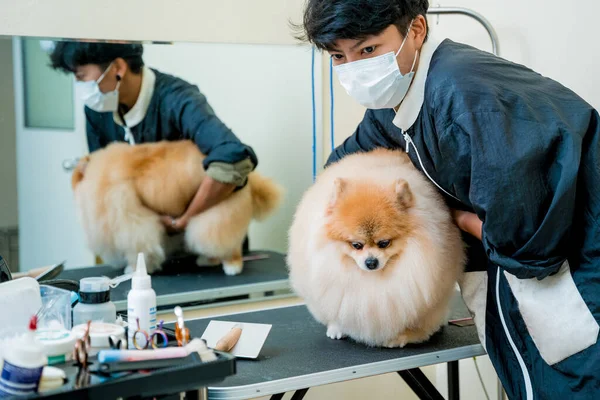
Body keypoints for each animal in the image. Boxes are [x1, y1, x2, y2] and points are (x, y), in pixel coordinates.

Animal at [71, 140, 282, 276]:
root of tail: (248, 178)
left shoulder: (130, 220)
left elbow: (138, 250)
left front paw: (134, 269)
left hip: (216, 215)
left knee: (228, 245)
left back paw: (232, 267)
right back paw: (207, 261)